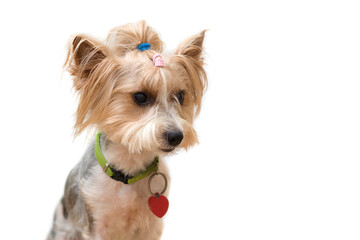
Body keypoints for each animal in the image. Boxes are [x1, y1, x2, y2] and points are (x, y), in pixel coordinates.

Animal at [47, 21, 207, 240]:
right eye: (140, 97)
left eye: (181, 96)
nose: (176, 136)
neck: (130, 172)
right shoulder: (97, 223)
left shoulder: (150, 227)